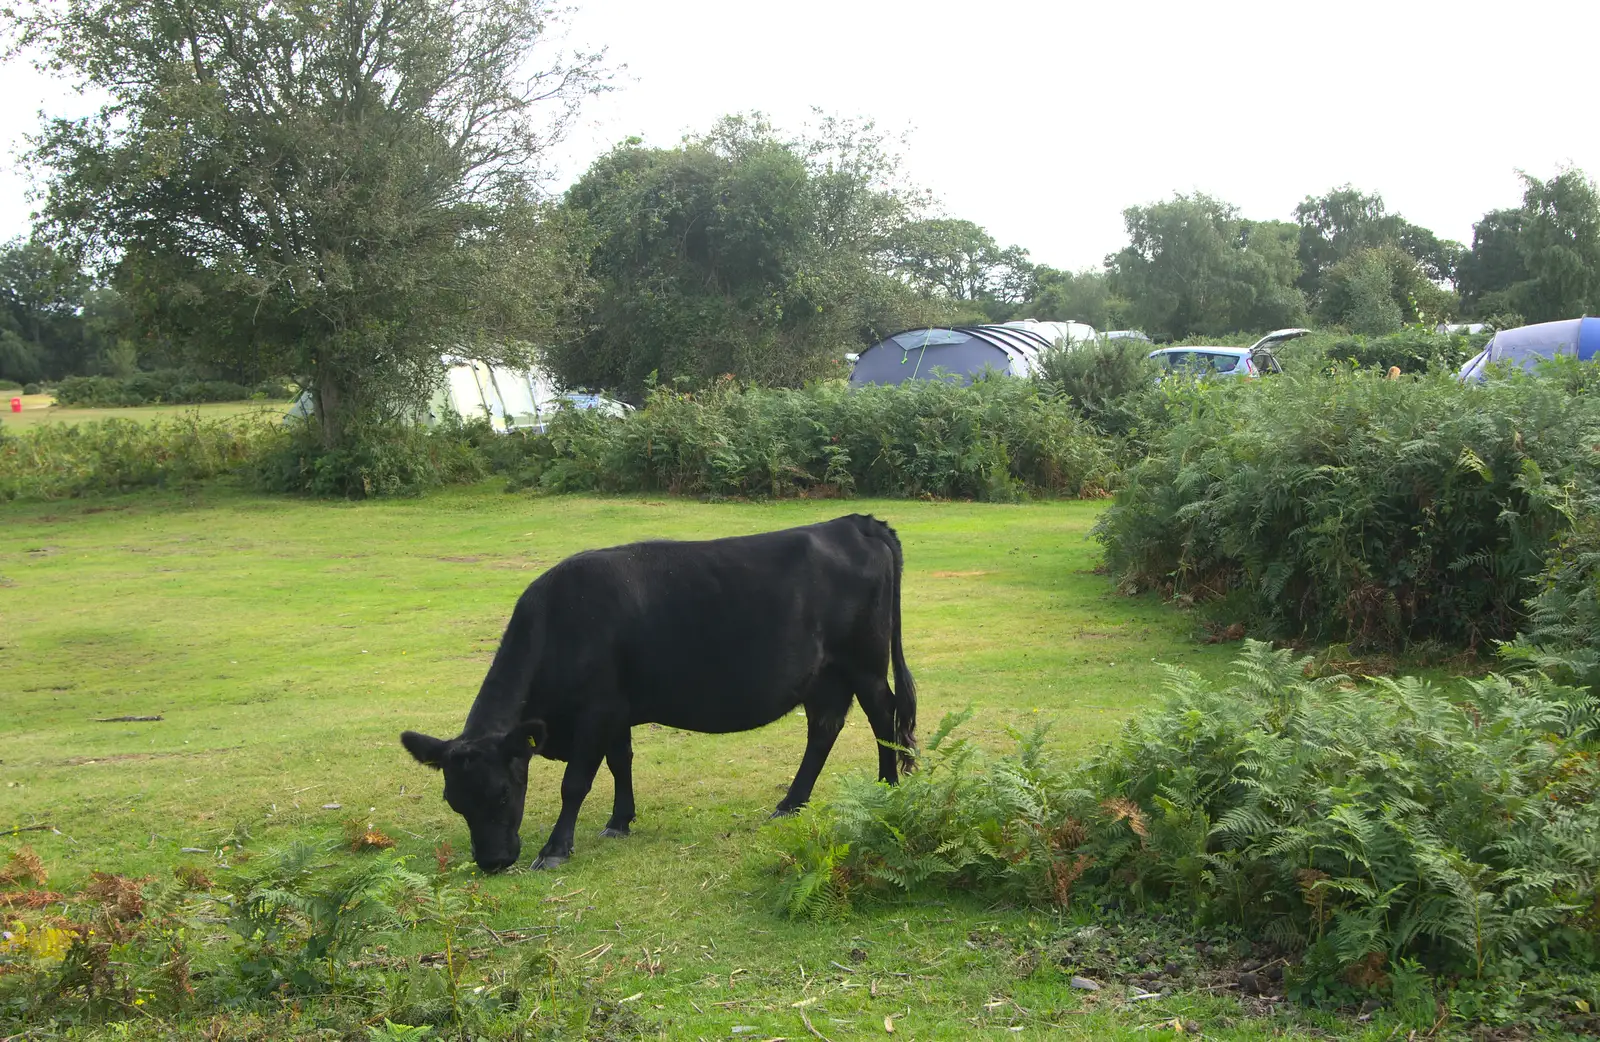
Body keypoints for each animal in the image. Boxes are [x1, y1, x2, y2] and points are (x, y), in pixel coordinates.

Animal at [406, 512, 921, 870]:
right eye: (454, 801)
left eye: (500, 794)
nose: (492, 862)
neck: (561, 622)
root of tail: (853, 523)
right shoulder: (616, 709)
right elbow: (621, 762)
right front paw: (619, 821)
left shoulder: (595, 710)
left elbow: (576, 782)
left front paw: (555, 848)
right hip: (824, 675)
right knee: (824, 729)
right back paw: (790, 804)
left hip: (865, 664)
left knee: (884, 715)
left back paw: (886, 787)